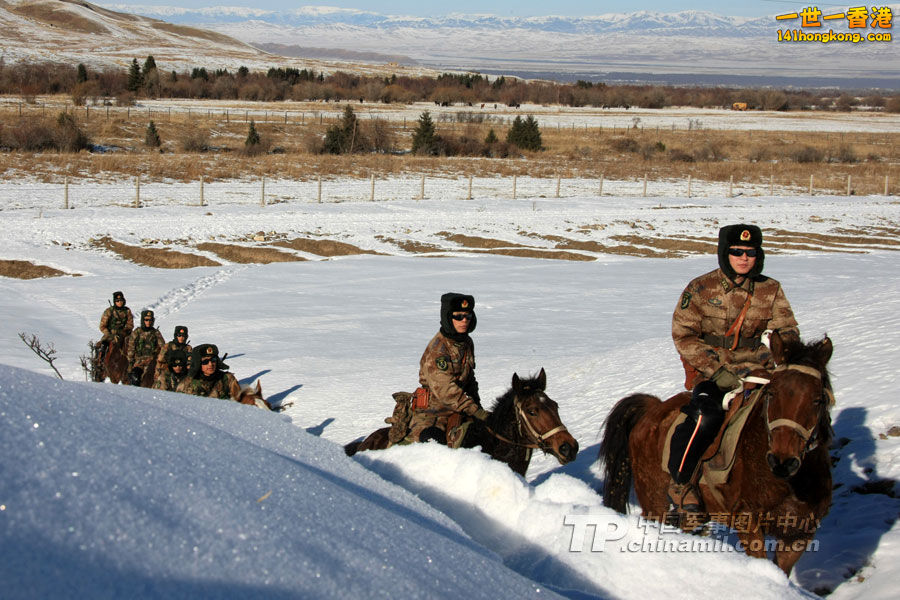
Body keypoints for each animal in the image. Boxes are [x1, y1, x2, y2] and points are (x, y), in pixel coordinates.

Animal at [600, 330, 832, 576]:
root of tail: (652, 409)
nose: (782, 461)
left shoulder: (798, 535)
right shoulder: (746, 520)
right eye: (772, 393)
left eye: (818, 399)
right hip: (654, 501)